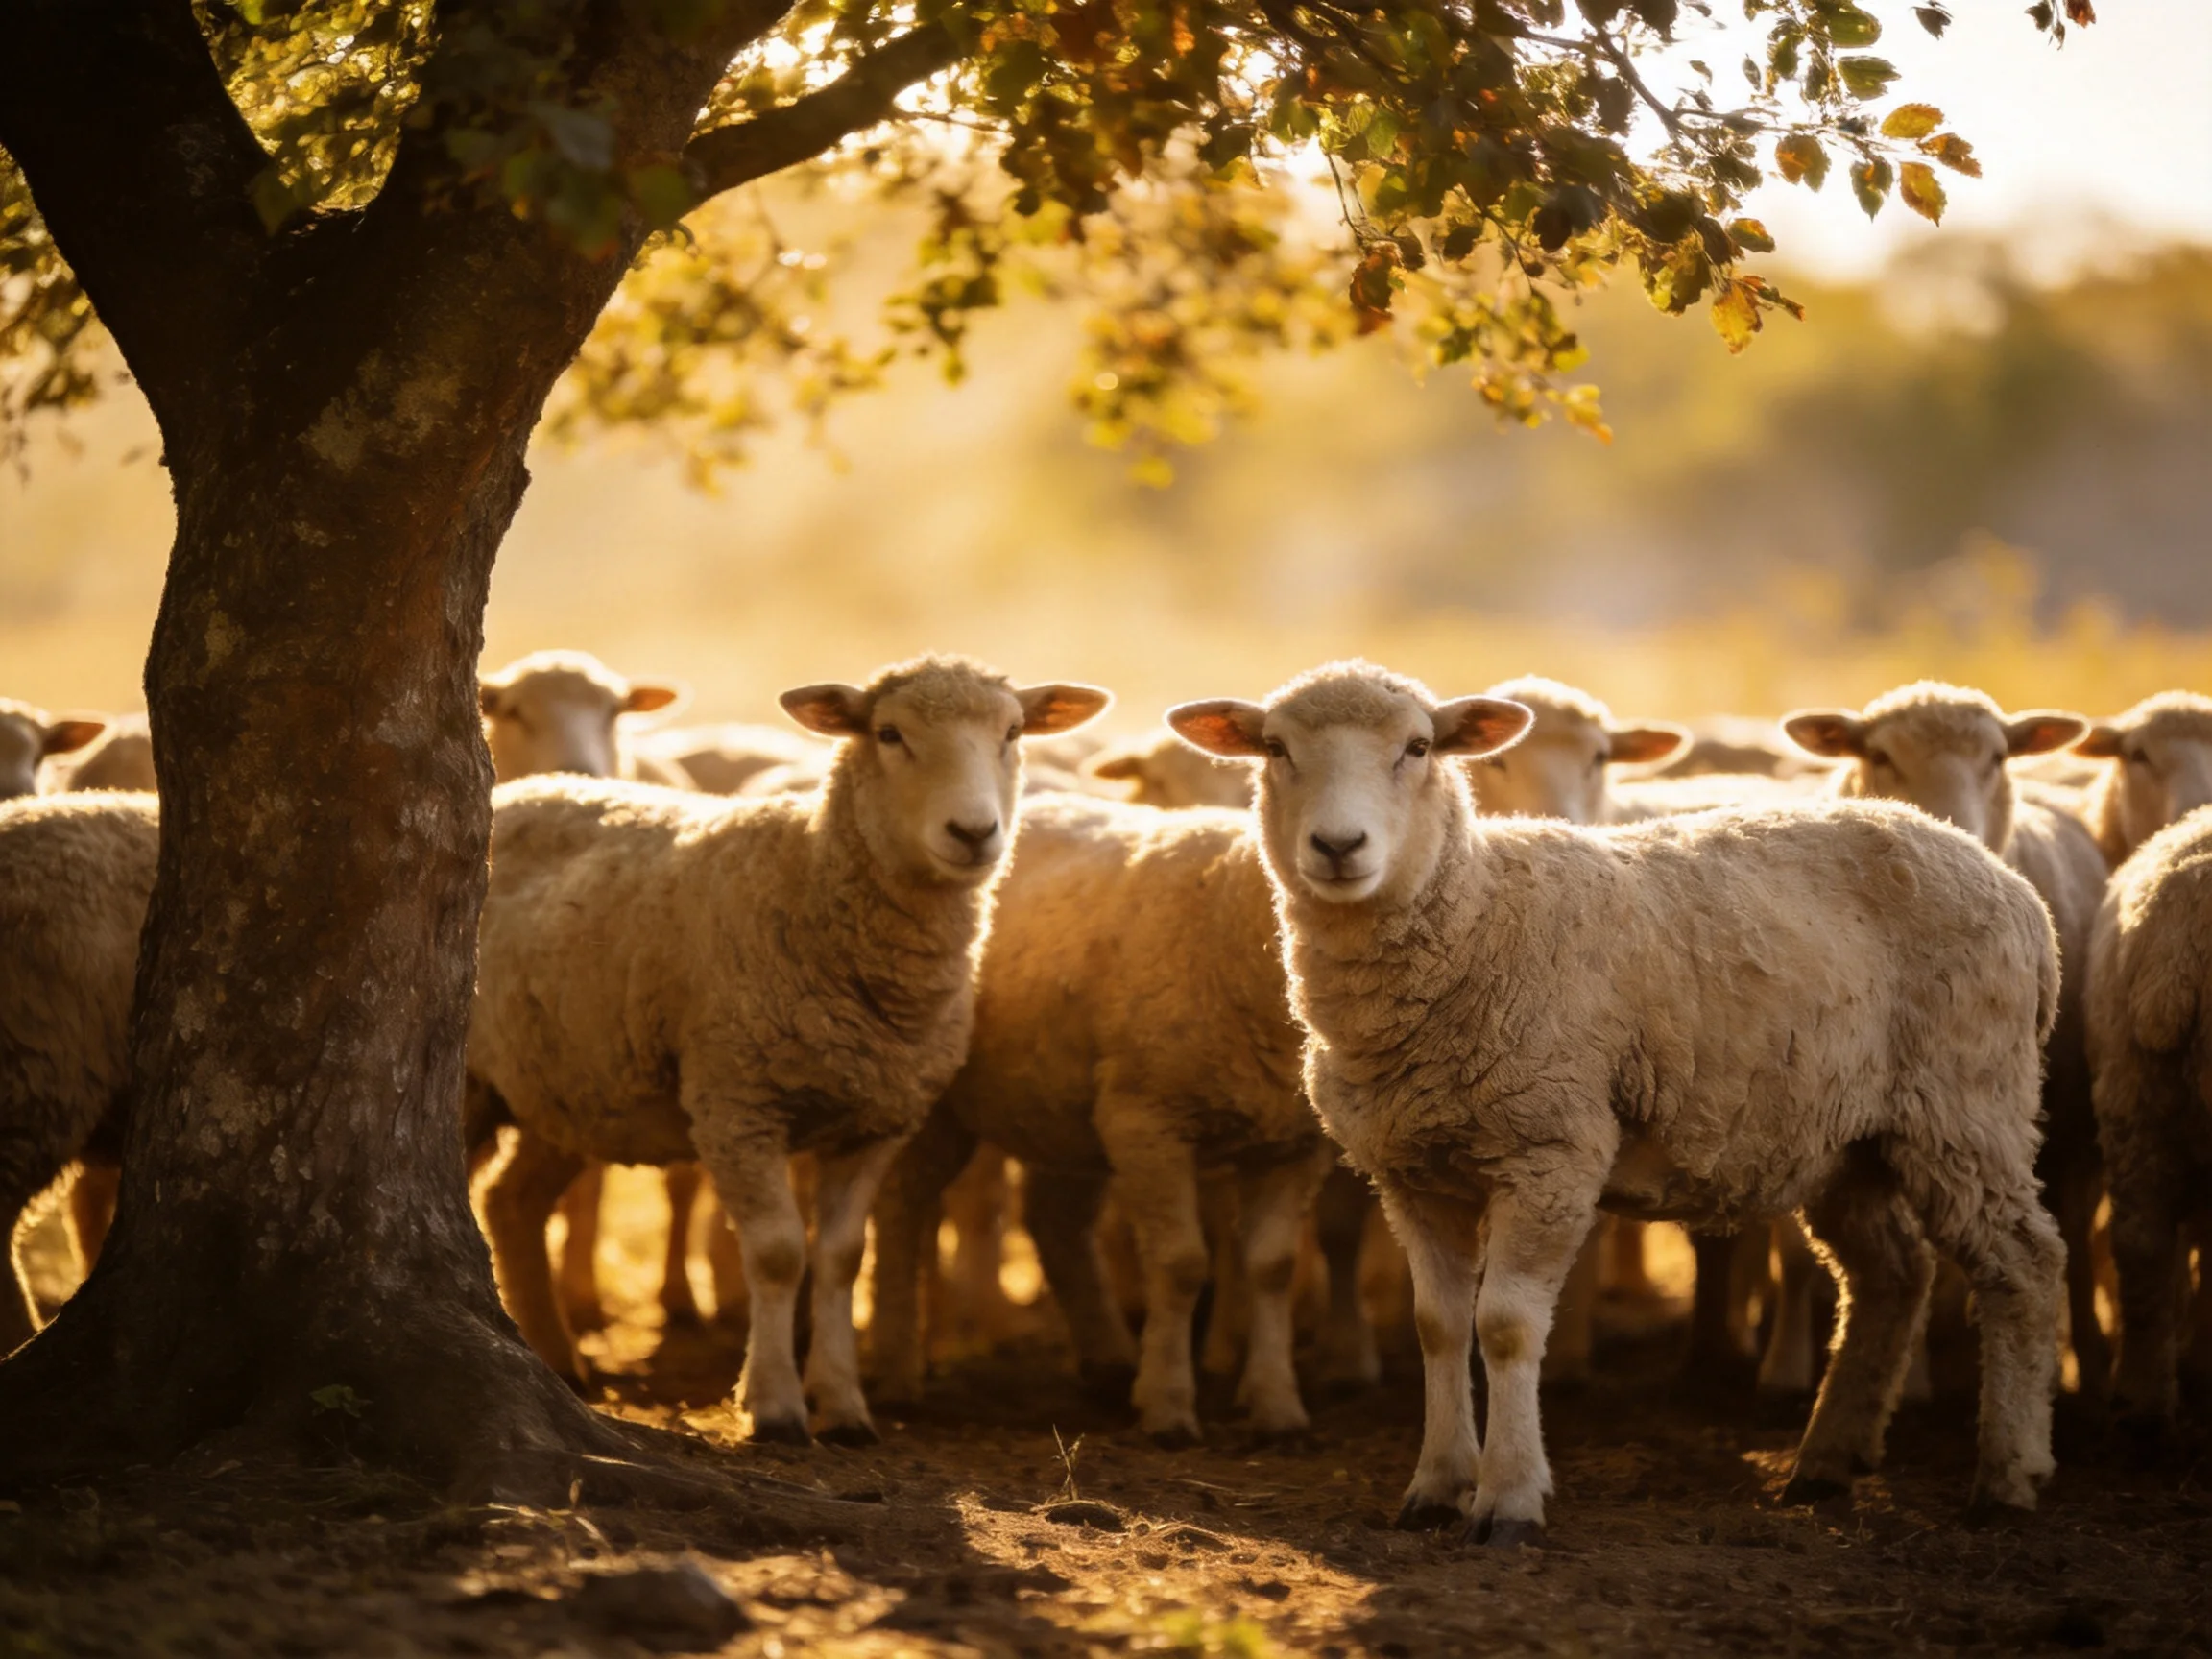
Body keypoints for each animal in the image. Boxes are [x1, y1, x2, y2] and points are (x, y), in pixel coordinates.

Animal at [466, 655, 1108, 1443]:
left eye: (1013, 732)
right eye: (889, 734)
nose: (974, 831)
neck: (809, 877)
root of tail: (525, 790)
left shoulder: (876, 1121)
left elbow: (839, 1259)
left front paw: (844, 1406)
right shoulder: (738, 1103)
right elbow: (776, 1254)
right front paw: (773, 1405)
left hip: (568, 1085)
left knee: (513, 1203)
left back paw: (559, 1362)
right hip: (478, 1080)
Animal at [869, 790, 1334, 1443]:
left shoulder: (1295, 1144)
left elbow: (1272, 1268)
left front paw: (1277, 1407)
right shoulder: (1150, 1120)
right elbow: (1181, 1264)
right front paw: (1168, 1406)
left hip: (1062, 1109)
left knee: (1054, 1222)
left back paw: (1109, 1362)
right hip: (946, 1101)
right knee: (902, 1208)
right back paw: (894, 1370)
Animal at [1170, 661, 2064, 1539]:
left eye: (1419, 747)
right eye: (1276, 749)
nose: (1338, 846)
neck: (1478, 919)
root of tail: (2013, 887)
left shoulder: (1551, 1152)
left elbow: (1504, 1326)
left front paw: (1508, 1499)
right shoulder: (1413, 1171)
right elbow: (1438, 1326)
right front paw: (1436, 1486)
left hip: (1966, 1104)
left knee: (2023, 1264)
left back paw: (2007, 1475)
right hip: (1850, 1138)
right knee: (1891, 1276)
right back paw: (1825, 1462)